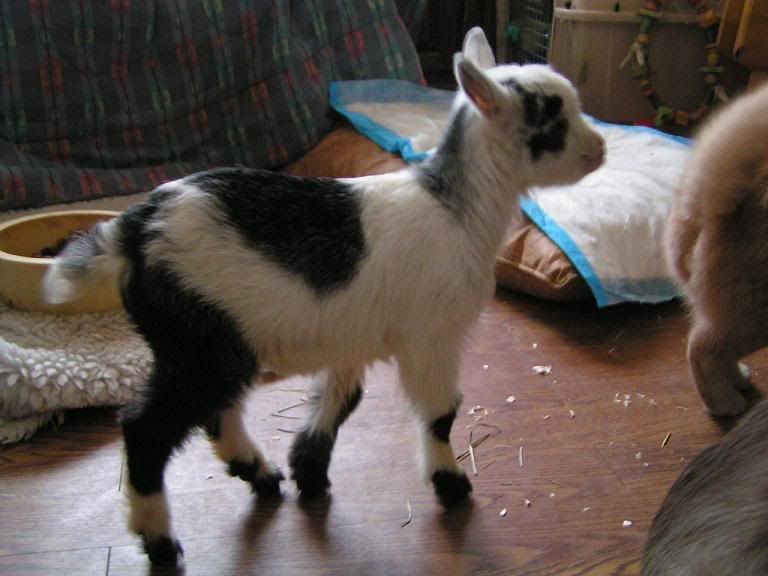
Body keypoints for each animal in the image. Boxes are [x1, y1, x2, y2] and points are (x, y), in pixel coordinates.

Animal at [42, 27, 604, 567]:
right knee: (146, 428)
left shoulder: (351, 336)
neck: (454, 208)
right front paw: (451, 486)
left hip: (209, 342)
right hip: (200, 337)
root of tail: (134, 228)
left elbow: (341, 398)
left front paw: (308, 471)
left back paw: (260, 474)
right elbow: (441, 414)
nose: (600, 149)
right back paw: (159, 541)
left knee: (216, 411)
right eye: (553, 124)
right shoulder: (432, 338)